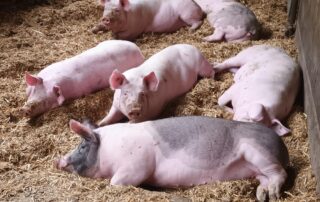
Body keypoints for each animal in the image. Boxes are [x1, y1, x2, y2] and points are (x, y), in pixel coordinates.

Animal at [55, 116, 290, 201]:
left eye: (82, 146)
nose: (59, 161)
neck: (108, 151)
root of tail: (283, 147)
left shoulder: (134, 166)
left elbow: (116, 182)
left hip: (259, 153)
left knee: (280, 173)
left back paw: (274, 195)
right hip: (256, 168)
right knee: (265, 178)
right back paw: (261, 195)